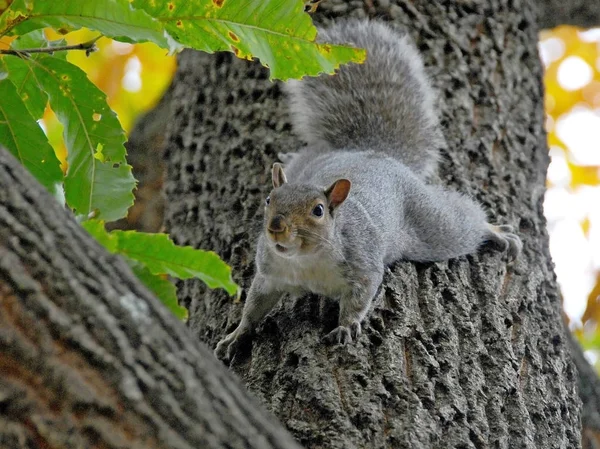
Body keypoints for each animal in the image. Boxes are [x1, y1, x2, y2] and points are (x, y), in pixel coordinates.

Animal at [214, 19, 520, 360]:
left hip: (432, 223)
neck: (305, 259)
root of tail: (368, 151)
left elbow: (360, 296)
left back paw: (495, 231)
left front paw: (346, 326)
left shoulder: (362, 261)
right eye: (269, 199)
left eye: (318, 210)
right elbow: (255, 306)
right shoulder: (269, 272)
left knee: (462, 222)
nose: (276, 227)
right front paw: (237, 335)